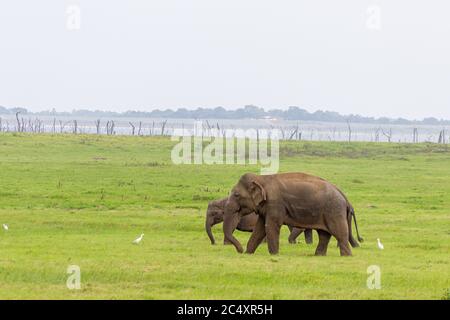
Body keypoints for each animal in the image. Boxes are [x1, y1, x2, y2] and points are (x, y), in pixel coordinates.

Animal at [223, 171, 364, 256]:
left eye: (236, 195)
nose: (240, 251)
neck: (262, 178)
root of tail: (344, 196)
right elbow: (260, 229)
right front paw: (249, 253)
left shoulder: (275, 204)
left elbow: (271, 226)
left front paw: (274, 255)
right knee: (324, 234)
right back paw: (318, 255)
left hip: (334, 211)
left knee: (339, 233)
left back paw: (346, 256)